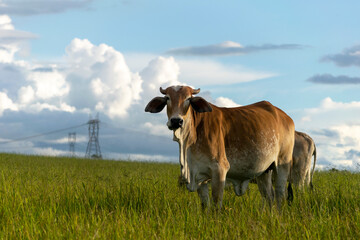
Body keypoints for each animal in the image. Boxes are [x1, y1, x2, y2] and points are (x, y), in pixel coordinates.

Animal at [146, 85, 296, 209]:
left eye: (188, 98)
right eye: (167, 98)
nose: (176, 121)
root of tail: (285, 117)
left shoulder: (219, 169)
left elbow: (216, 204)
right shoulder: (200, 175)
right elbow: (205, 206)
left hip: (282, 165)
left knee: (280, 195)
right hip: (264, 171)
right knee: (269, 196)